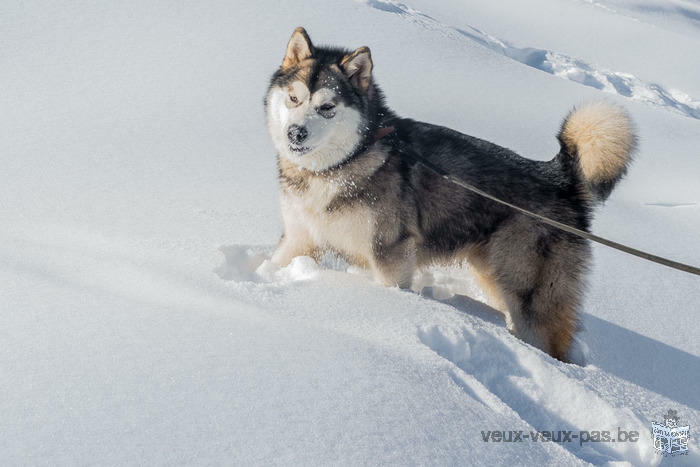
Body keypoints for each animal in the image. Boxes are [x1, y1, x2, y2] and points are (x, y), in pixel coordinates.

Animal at [262, 27, 636, 362]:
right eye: (294, 98)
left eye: (327, 107)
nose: (296, 133)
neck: (339, 165)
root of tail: (558, 177)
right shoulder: (299, 238)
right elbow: (275, 264)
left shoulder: (390, 256)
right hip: (494, 274)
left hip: (526, 290)